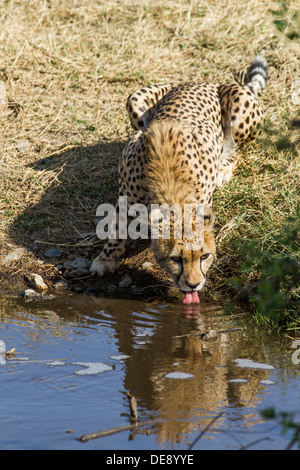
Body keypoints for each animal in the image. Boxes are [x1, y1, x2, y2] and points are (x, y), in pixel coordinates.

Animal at [91, 56, 268, 304]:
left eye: (204, 256)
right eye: (176, 259)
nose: (194, 285)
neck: (170, 181)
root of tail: (208, 82)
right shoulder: (126, 195)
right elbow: (116, 225)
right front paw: (107, 258)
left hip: (240, 109)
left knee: (237, 146)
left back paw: (224, 167)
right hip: (134, 100)